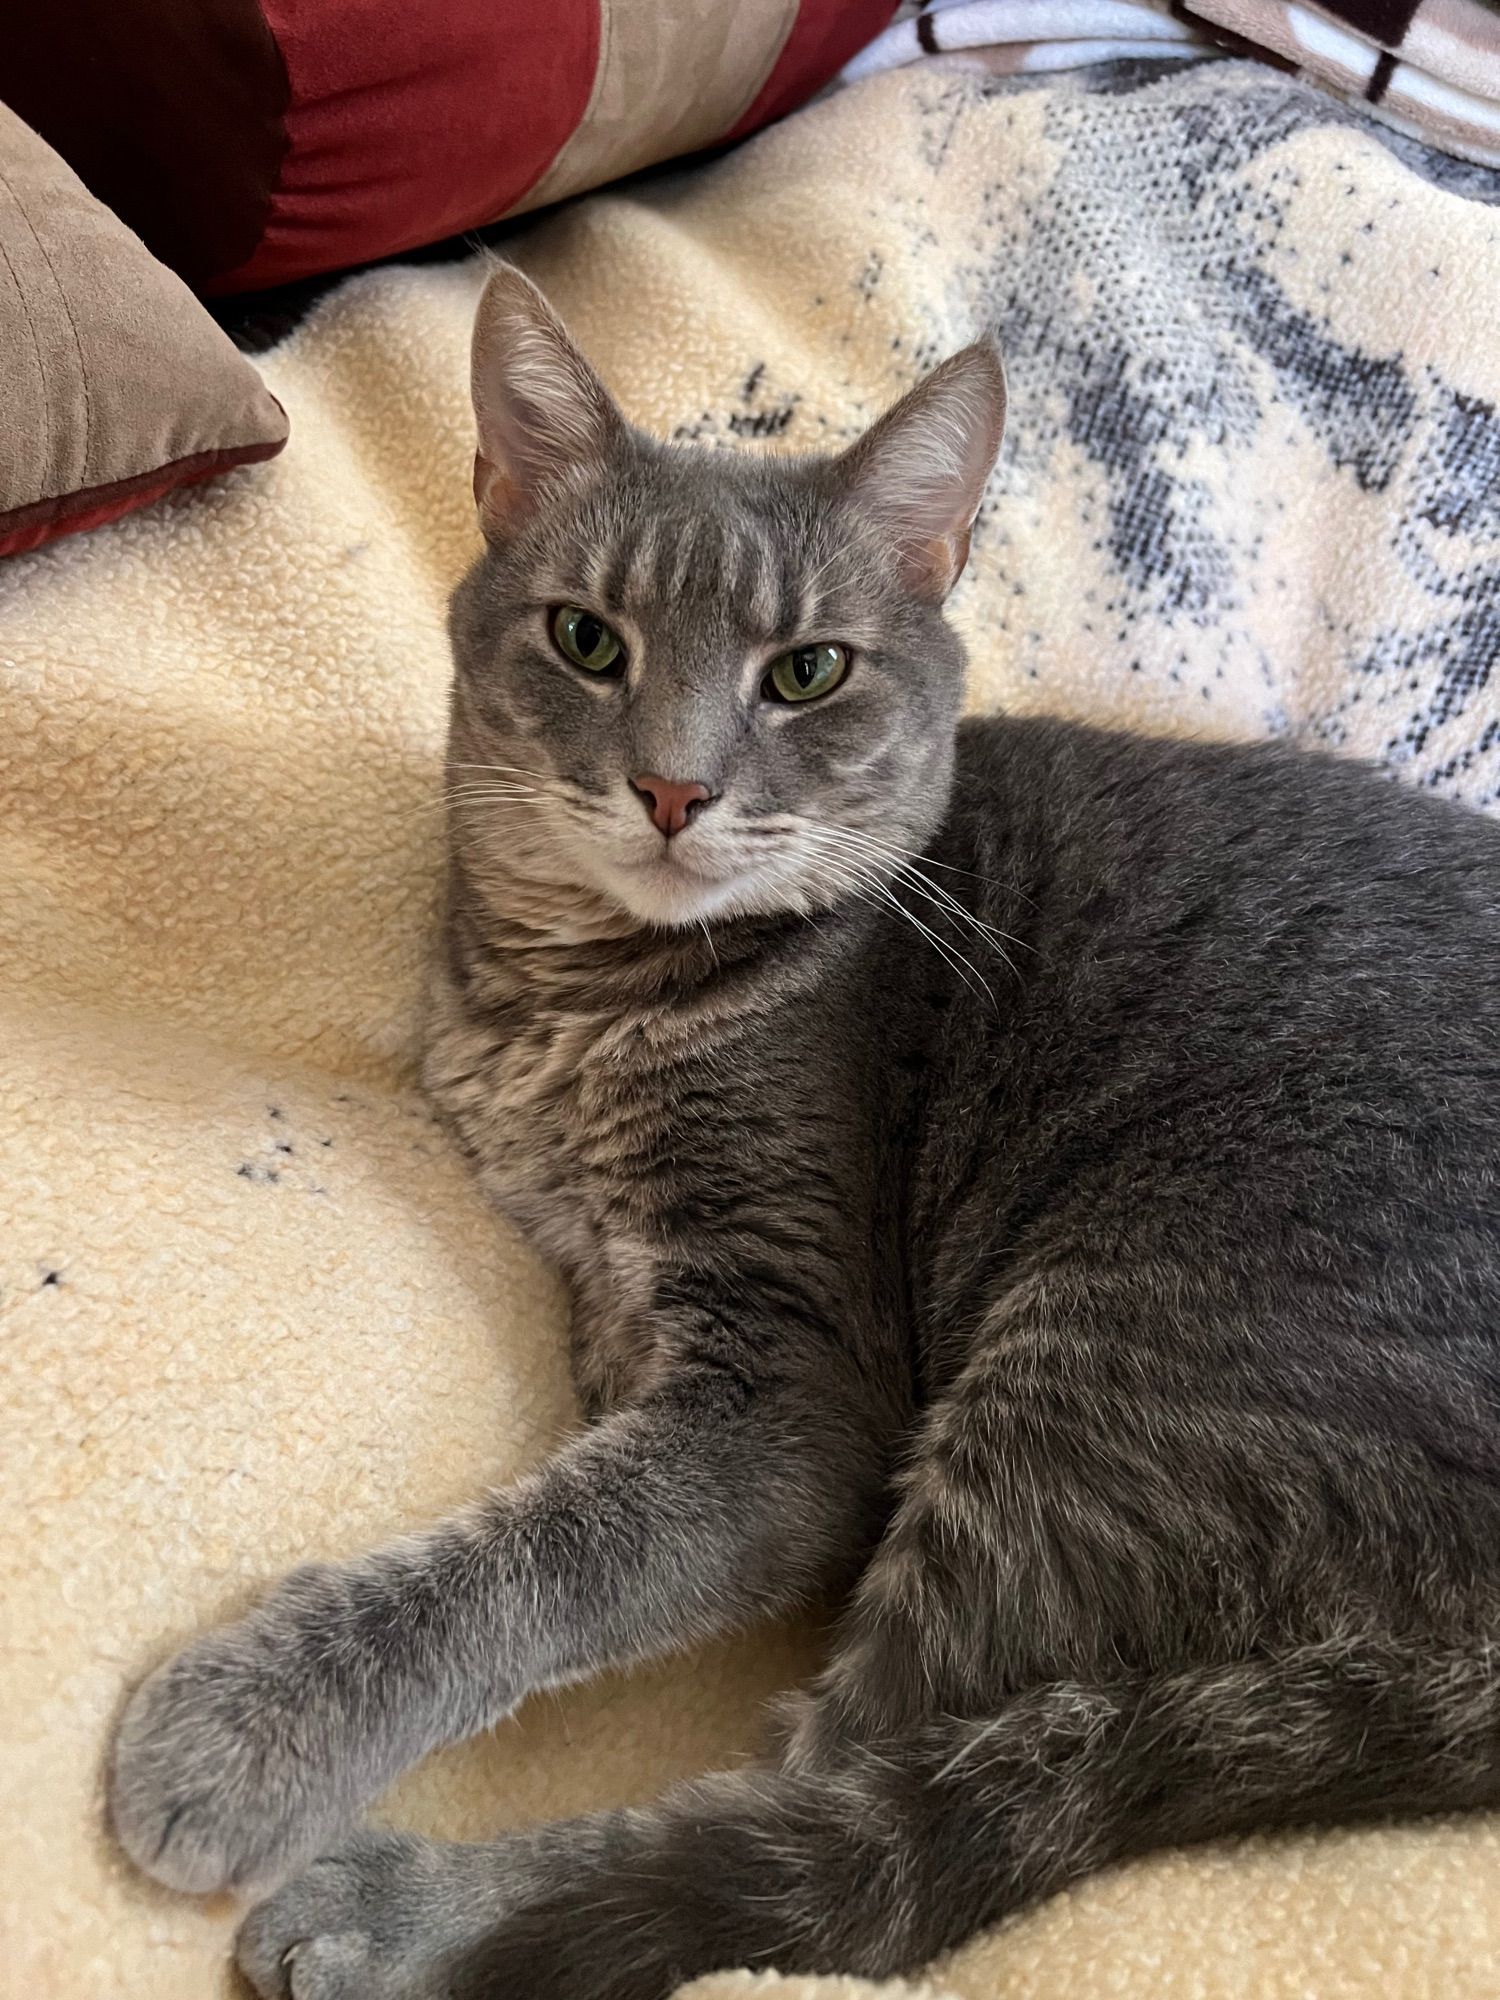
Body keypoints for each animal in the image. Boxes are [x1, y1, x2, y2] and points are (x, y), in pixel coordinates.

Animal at [111, 270, 1500, 2000]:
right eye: (587, 640)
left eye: (808, 673)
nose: (671, 788)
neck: (575, 998)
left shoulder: (796, 1399)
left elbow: (552, 1553)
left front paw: (258, 1726)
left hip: (1117, 1378)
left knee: (843, 1846)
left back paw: (419, 1916)